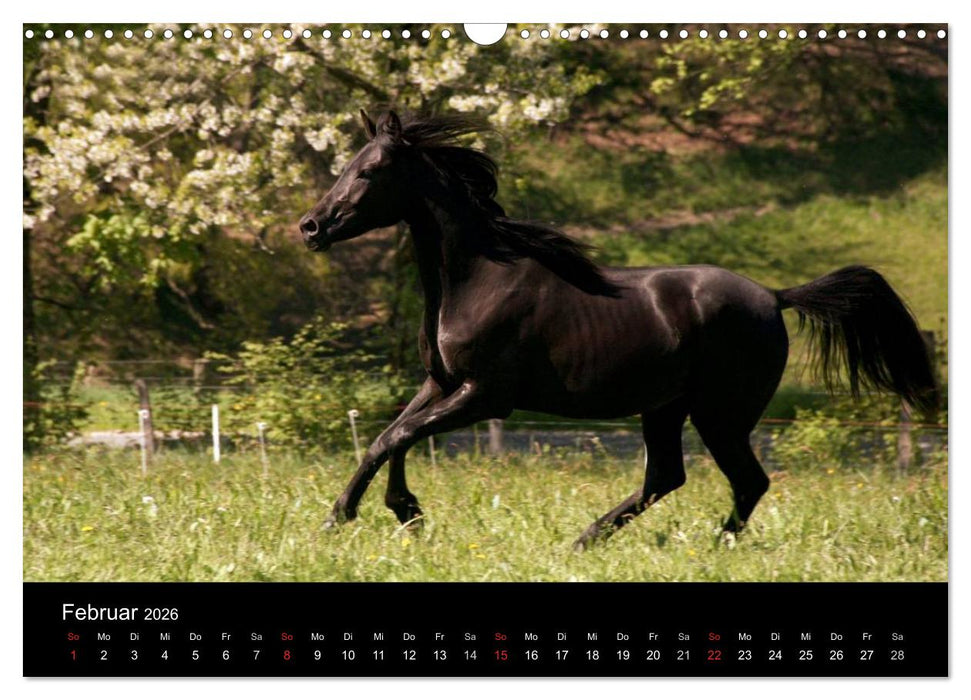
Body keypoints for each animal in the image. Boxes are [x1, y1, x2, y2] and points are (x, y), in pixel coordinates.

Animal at [298, 110, 938, 550]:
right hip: (666, 408)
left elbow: (398, 436)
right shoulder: (442, 383)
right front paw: (367, 514)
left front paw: (386, 512)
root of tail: (774, 297)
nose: (310, 227)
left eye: (369, 171)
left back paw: (713, 546)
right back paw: (586, 540)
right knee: (666, 477)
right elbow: (390, 436)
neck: (479, 277)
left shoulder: (485, 396)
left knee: (748, 481)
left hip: (720, 413)